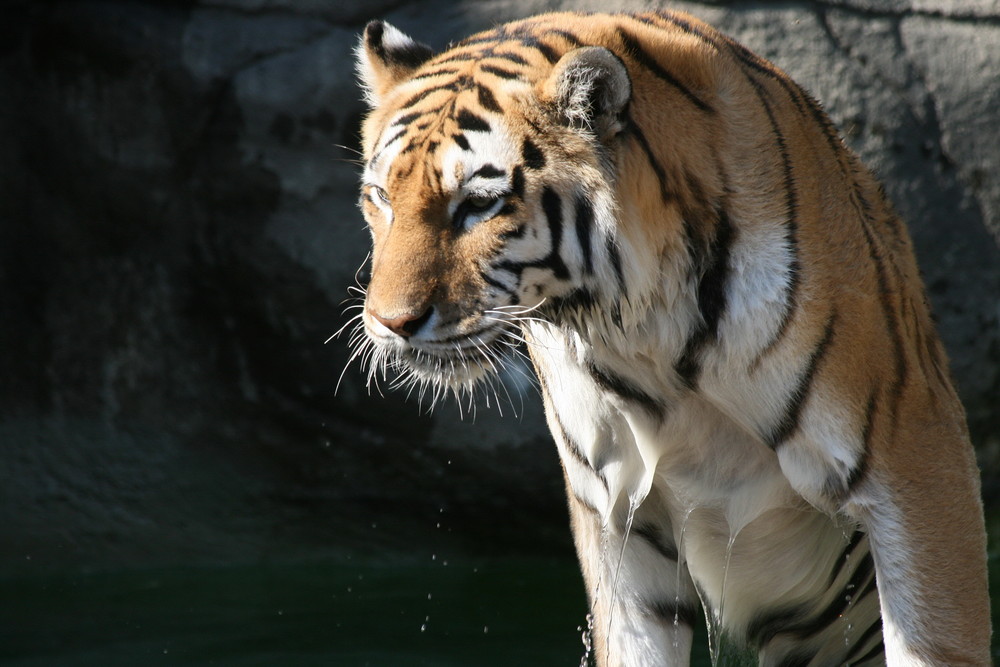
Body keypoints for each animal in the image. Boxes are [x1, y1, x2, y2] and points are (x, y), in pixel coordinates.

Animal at [348, 10, 988, 667]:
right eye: (381, 197)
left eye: (479, 205)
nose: (390, 322)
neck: (643, 336)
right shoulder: (621, 520)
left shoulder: (914, 463)